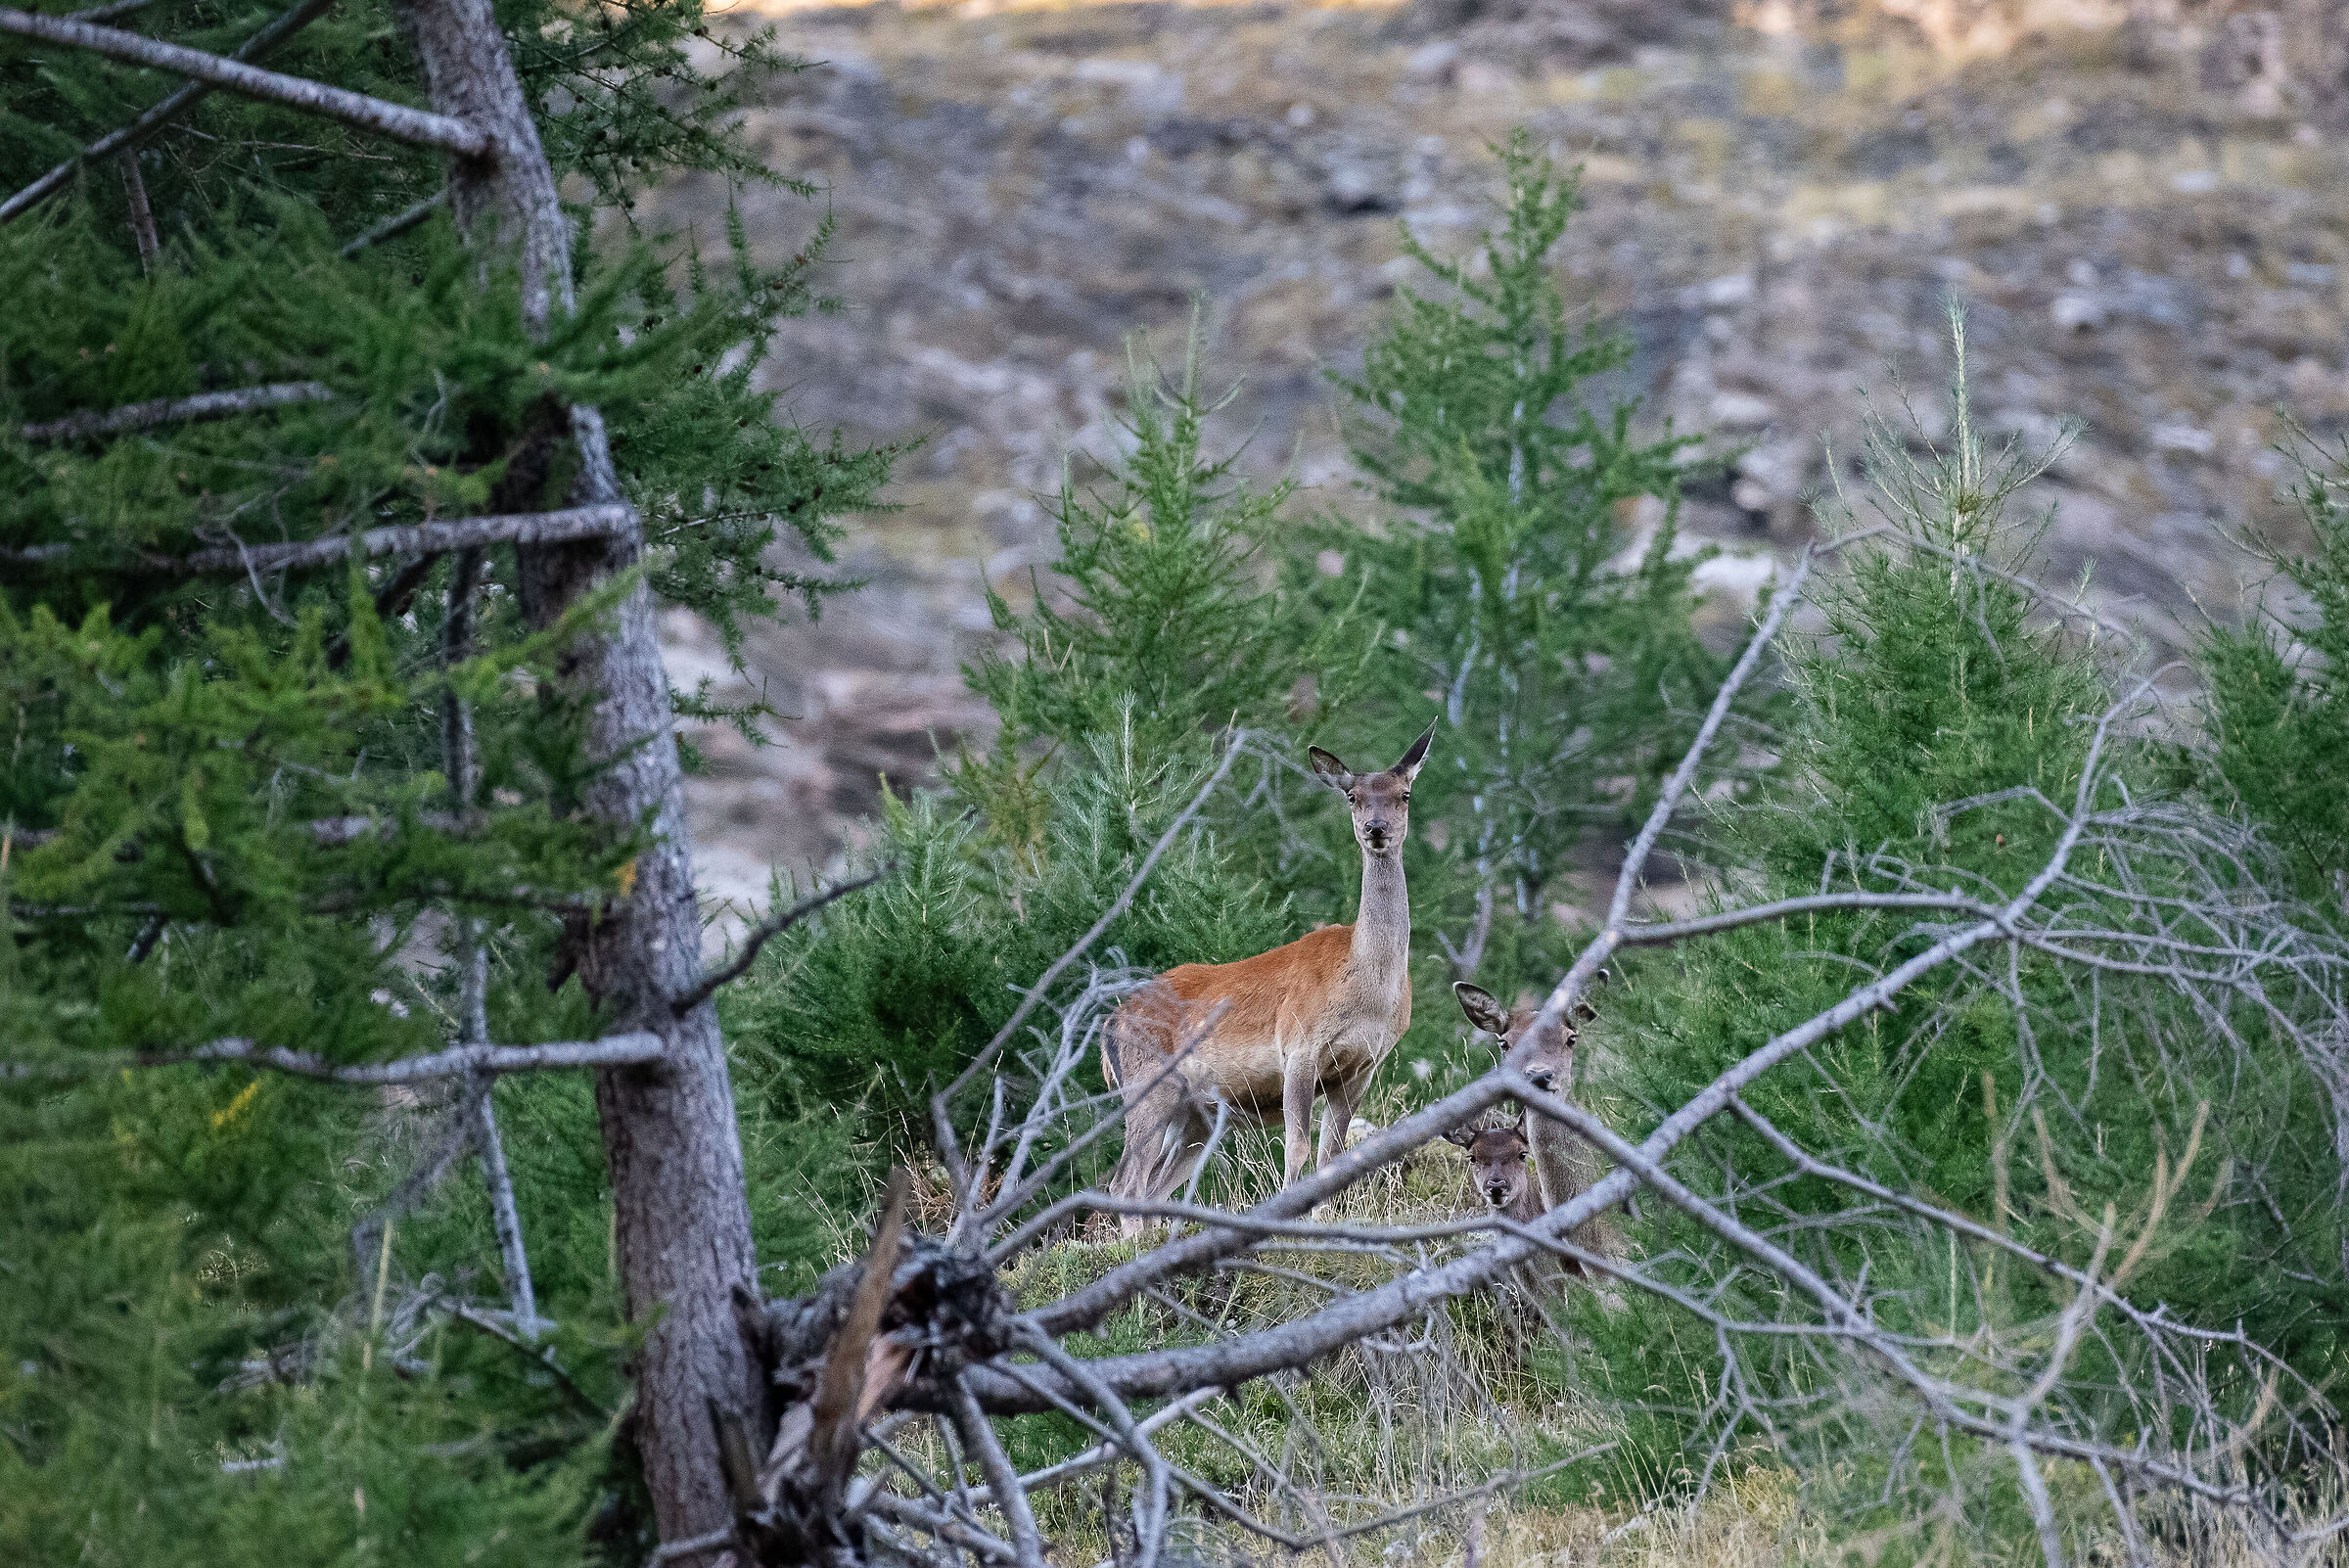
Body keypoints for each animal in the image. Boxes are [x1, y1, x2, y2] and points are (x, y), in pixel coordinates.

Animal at [1101, 724, 1436, 1232]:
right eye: (1353, 796)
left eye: (1404, 794)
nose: (1375, 829)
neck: (1368, 993)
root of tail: (1110, 1023)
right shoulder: (1299, 1047)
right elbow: (1297, 1149)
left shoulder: (1362, 1067)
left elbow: (1331, 1156)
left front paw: (1321, 1222)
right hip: (1147, 1090)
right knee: (1125, 1183)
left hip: (1195, 1115)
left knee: (1154, 1185)